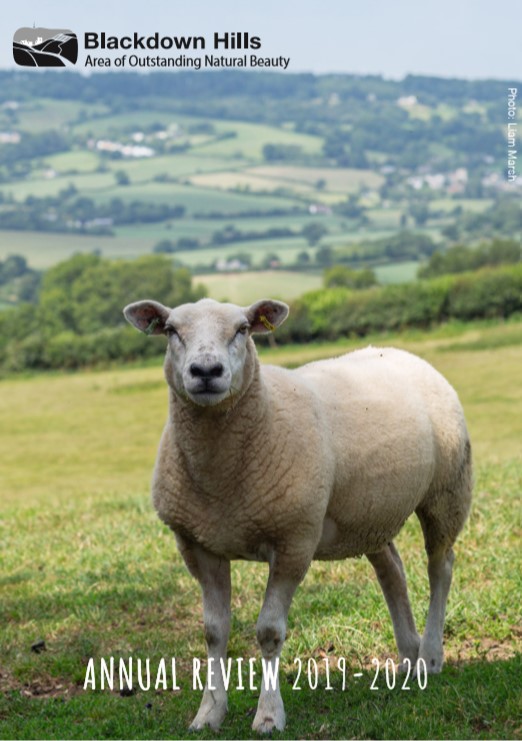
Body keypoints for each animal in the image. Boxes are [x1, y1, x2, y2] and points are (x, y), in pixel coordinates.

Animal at [123, 296, 472, 734]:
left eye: (242, 329)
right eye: (171, 330)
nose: (206, 371)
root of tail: (399, 352)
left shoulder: (294, 540)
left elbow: (269, 632)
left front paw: (269, 715)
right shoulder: (198, 546)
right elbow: (213, 632)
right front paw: (209, 713)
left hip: (447, 490)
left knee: (440, 567)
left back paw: (430, 655)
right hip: (368, 514)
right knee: (392, 570)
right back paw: (408, 657)